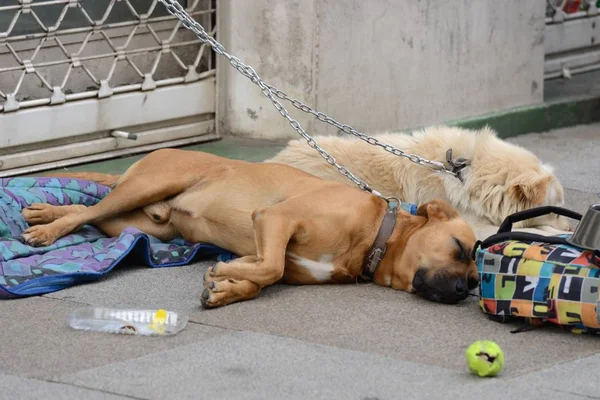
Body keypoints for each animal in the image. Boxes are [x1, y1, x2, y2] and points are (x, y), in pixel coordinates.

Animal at [19, 148, 478, 308]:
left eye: (477, 281)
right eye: (459, 247)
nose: (463, 290)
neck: (373, 238)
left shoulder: (267, 246)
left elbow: (263, 274)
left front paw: (228, 287)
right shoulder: (276, 220)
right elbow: (270, 268)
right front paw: (225, 274)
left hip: (143, 222)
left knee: (91, 210)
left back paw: (45, 213)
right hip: (151, 183)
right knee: (89, 210)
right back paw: (46, 231)